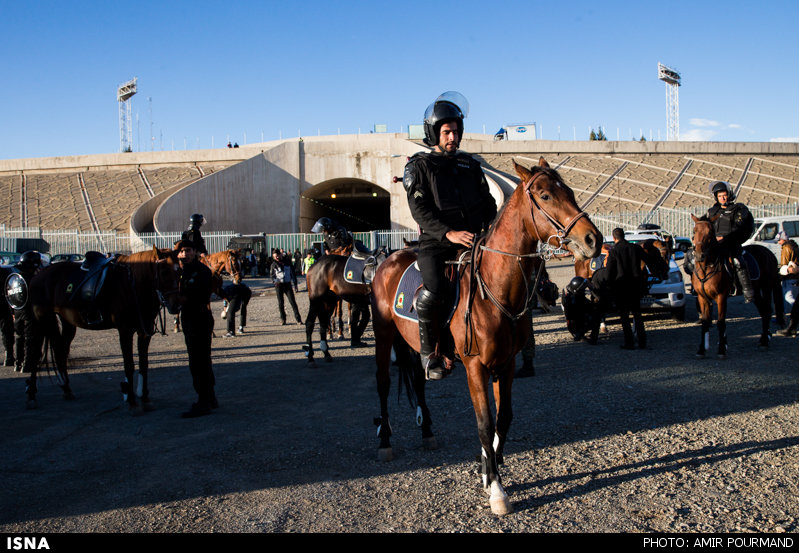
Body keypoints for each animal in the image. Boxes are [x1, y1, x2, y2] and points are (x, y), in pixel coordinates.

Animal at [27, 246, 183, 410]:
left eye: (179, 271)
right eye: (164, 272)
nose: (176, 306)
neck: (132, 285)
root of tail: (38, 275)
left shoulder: (144, 331)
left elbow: (143, 363)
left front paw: (145, 397)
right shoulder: (125, 331)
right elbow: (129, 364)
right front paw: (131, 399)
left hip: (67, 322)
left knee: (60, 353)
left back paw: (66, 389)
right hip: (41, 320)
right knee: (36, 353)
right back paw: (31, 395)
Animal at [368, 156, 600, 512]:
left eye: (571, 192)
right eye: (545, 196)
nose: (592, 240)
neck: (495, 290)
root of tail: (390, 258)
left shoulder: (505, 365)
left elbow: (503, 418)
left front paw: (488, 468)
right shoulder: (475, 368)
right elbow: (484, 422)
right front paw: (496, 488)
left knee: (419, 382)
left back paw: (427, 432)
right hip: (383, 335)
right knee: (383, 383)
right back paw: (384, 441)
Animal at [692, 213, 784, 356]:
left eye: (710, 232)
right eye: (694, 231)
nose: (699, 255)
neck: (706, 269)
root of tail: (769, 254)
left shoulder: (721, 297)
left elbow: (721, 322)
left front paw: (722, 349)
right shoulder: (703, 298)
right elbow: (705, 322)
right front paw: (701, 349)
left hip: (766, 287)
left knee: (768, 311)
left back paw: (764, 341)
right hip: (756, 292)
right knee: (763, 311)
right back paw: (764, 338)